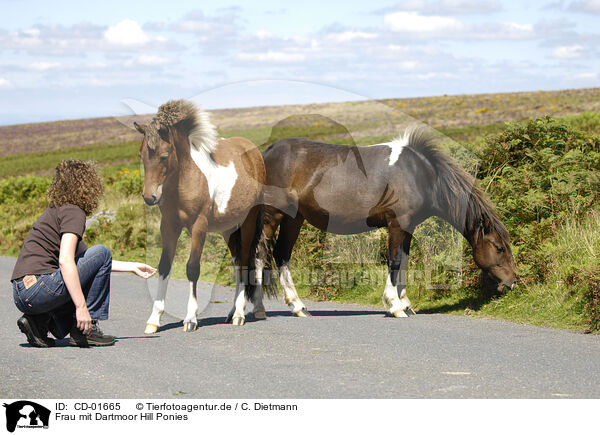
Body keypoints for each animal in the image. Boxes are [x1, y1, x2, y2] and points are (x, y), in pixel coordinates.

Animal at [136, 99, 268, 332]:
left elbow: (192, 268)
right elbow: (164, 267)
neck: (185, 178)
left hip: (248, 223)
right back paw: (232, 312)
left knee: (245, 260)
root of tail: (254, 153)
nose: (150, 197)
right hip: (228, 229)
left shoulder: (199, 227)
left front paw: (190, 319)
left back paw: (240, 314)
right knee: (237, 262)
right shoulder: (168, 226)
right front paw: (154, 320)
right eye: (141, 155)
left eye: (164, 156)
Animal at [256, 127, 516, 318]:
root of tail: (265, 153)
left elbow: (404, 263)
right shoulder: (398, 224)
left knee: (281, 255)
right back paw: (259, 309)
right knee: (260, 255)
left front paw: (406, 303)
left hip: (294, 219)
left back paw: (298, 306)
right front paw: (395, 305)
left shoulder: (408, 228)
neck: (421, 175)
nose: (513, 282)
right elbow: (395, 261)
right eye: (499, 248)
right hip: (272, 217)